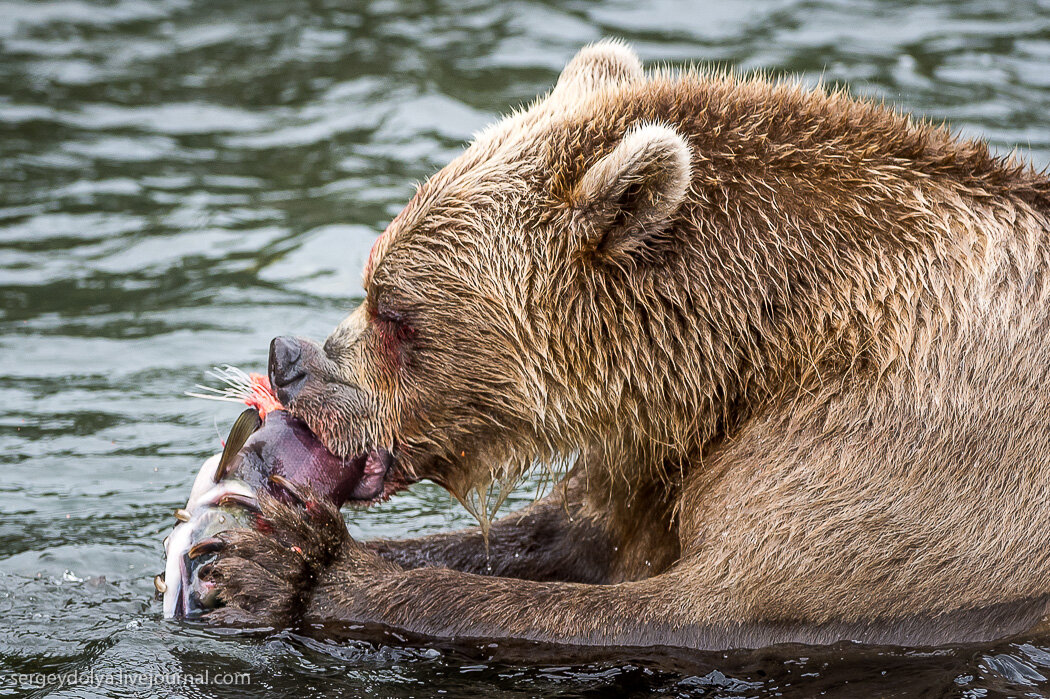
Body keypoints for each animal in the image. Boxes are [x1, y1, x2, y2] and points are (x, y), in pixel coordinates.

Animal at [195, 40, 1050, 646]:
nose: (289, 360)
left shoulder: (899, 447)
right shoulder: (662, 439)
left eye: (395, 311)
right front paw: (239, 550)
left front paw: (288, 567)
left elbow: (702, 602)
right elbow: (566, 529)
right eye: (371, 276)